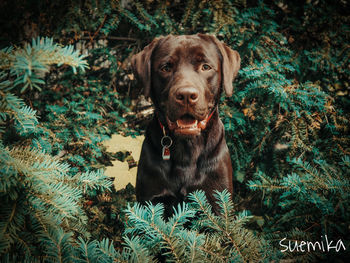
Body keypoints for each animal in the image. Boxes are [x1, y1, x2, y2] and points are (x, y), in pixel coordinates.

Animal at [131, 34, 241, 218]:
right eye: (166, 67)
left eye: (206, 67)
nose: (187, 95)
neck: (187, 149)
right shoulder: (150, 201)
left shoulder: (218, 201)